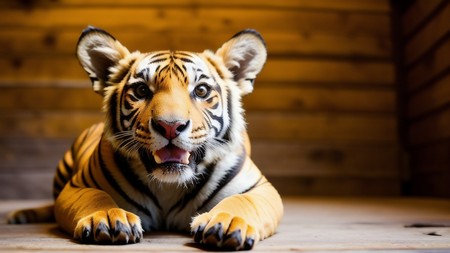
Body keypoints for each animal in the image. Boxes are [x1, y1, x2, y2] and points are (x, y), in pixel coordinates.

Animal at [7, 26, 284, 250]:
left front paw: (227, 223)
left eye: (202, 90)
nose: (170, 126)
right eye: (141, 90)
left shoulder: (261, 189)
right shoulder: (77, 186)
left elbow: (242, 200)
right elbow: (95, 197)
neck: (169, 186)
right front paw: (108, 217)